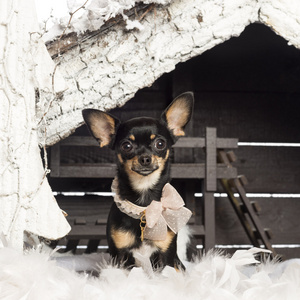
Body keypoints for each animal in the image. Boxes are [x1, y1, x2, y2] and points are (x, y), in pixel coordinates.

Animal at [82, 91, 195, 270]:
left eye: (160, 143)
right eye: (126, 146)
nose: (145, 158)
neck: (144, 206)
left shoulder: (166, 257)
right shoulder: (120, 256)